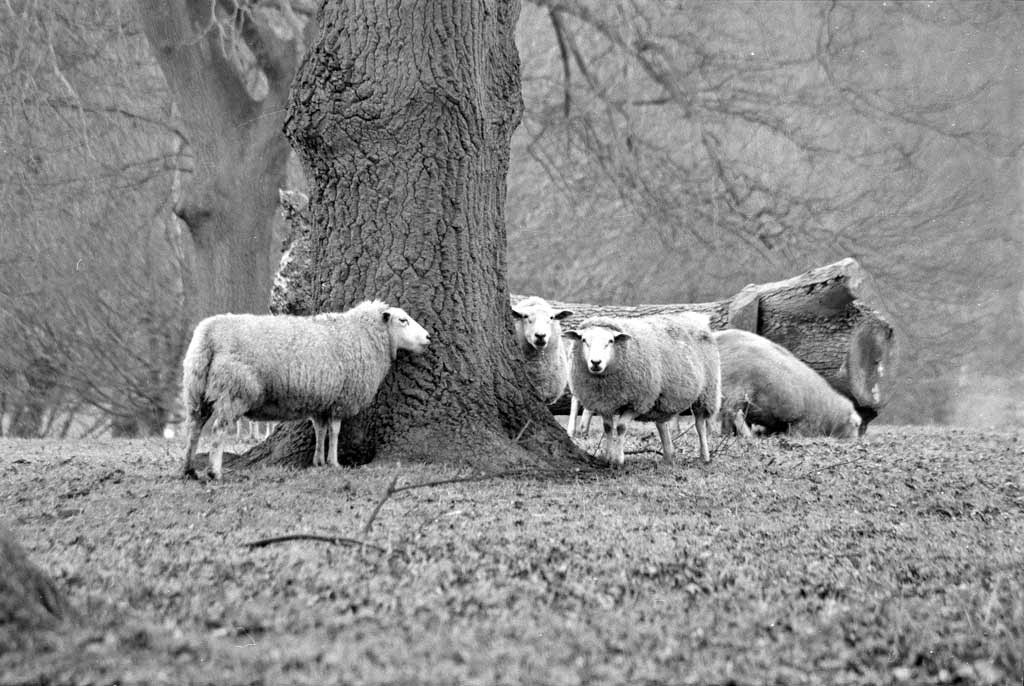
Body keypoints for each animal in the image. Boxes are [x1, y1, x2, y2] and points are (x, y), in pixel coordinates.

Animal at [181, 299, 431, 479]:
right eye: (403, 320)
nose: (429, 337)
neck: (363, 334)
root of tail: (209, 334)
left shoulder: (321, 401)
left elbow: (320, 430)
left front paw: (318, 461)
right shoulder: (341, 399)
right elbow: (335, 431)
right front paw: (334, 463)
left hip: (196, 389)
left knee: (194, 428)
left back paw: (189, 470)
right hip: (234, 390)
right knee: (218, 430)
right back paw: (214, 472)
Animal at [563, 312, 721, 466]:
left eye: (610, 341)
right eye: (584, 340)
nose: (596, 362)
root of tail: (696, 319)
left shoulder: (639, 402)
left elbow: (621, 427)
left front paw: (618, 460)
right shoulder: (604, 403)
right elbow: (607, 427)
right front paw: (607, 457)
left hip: (707, 391)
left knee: (700, 424)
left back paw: (704, 456)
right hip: (661, 397)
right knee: (661, 424)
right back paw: (668, 456)